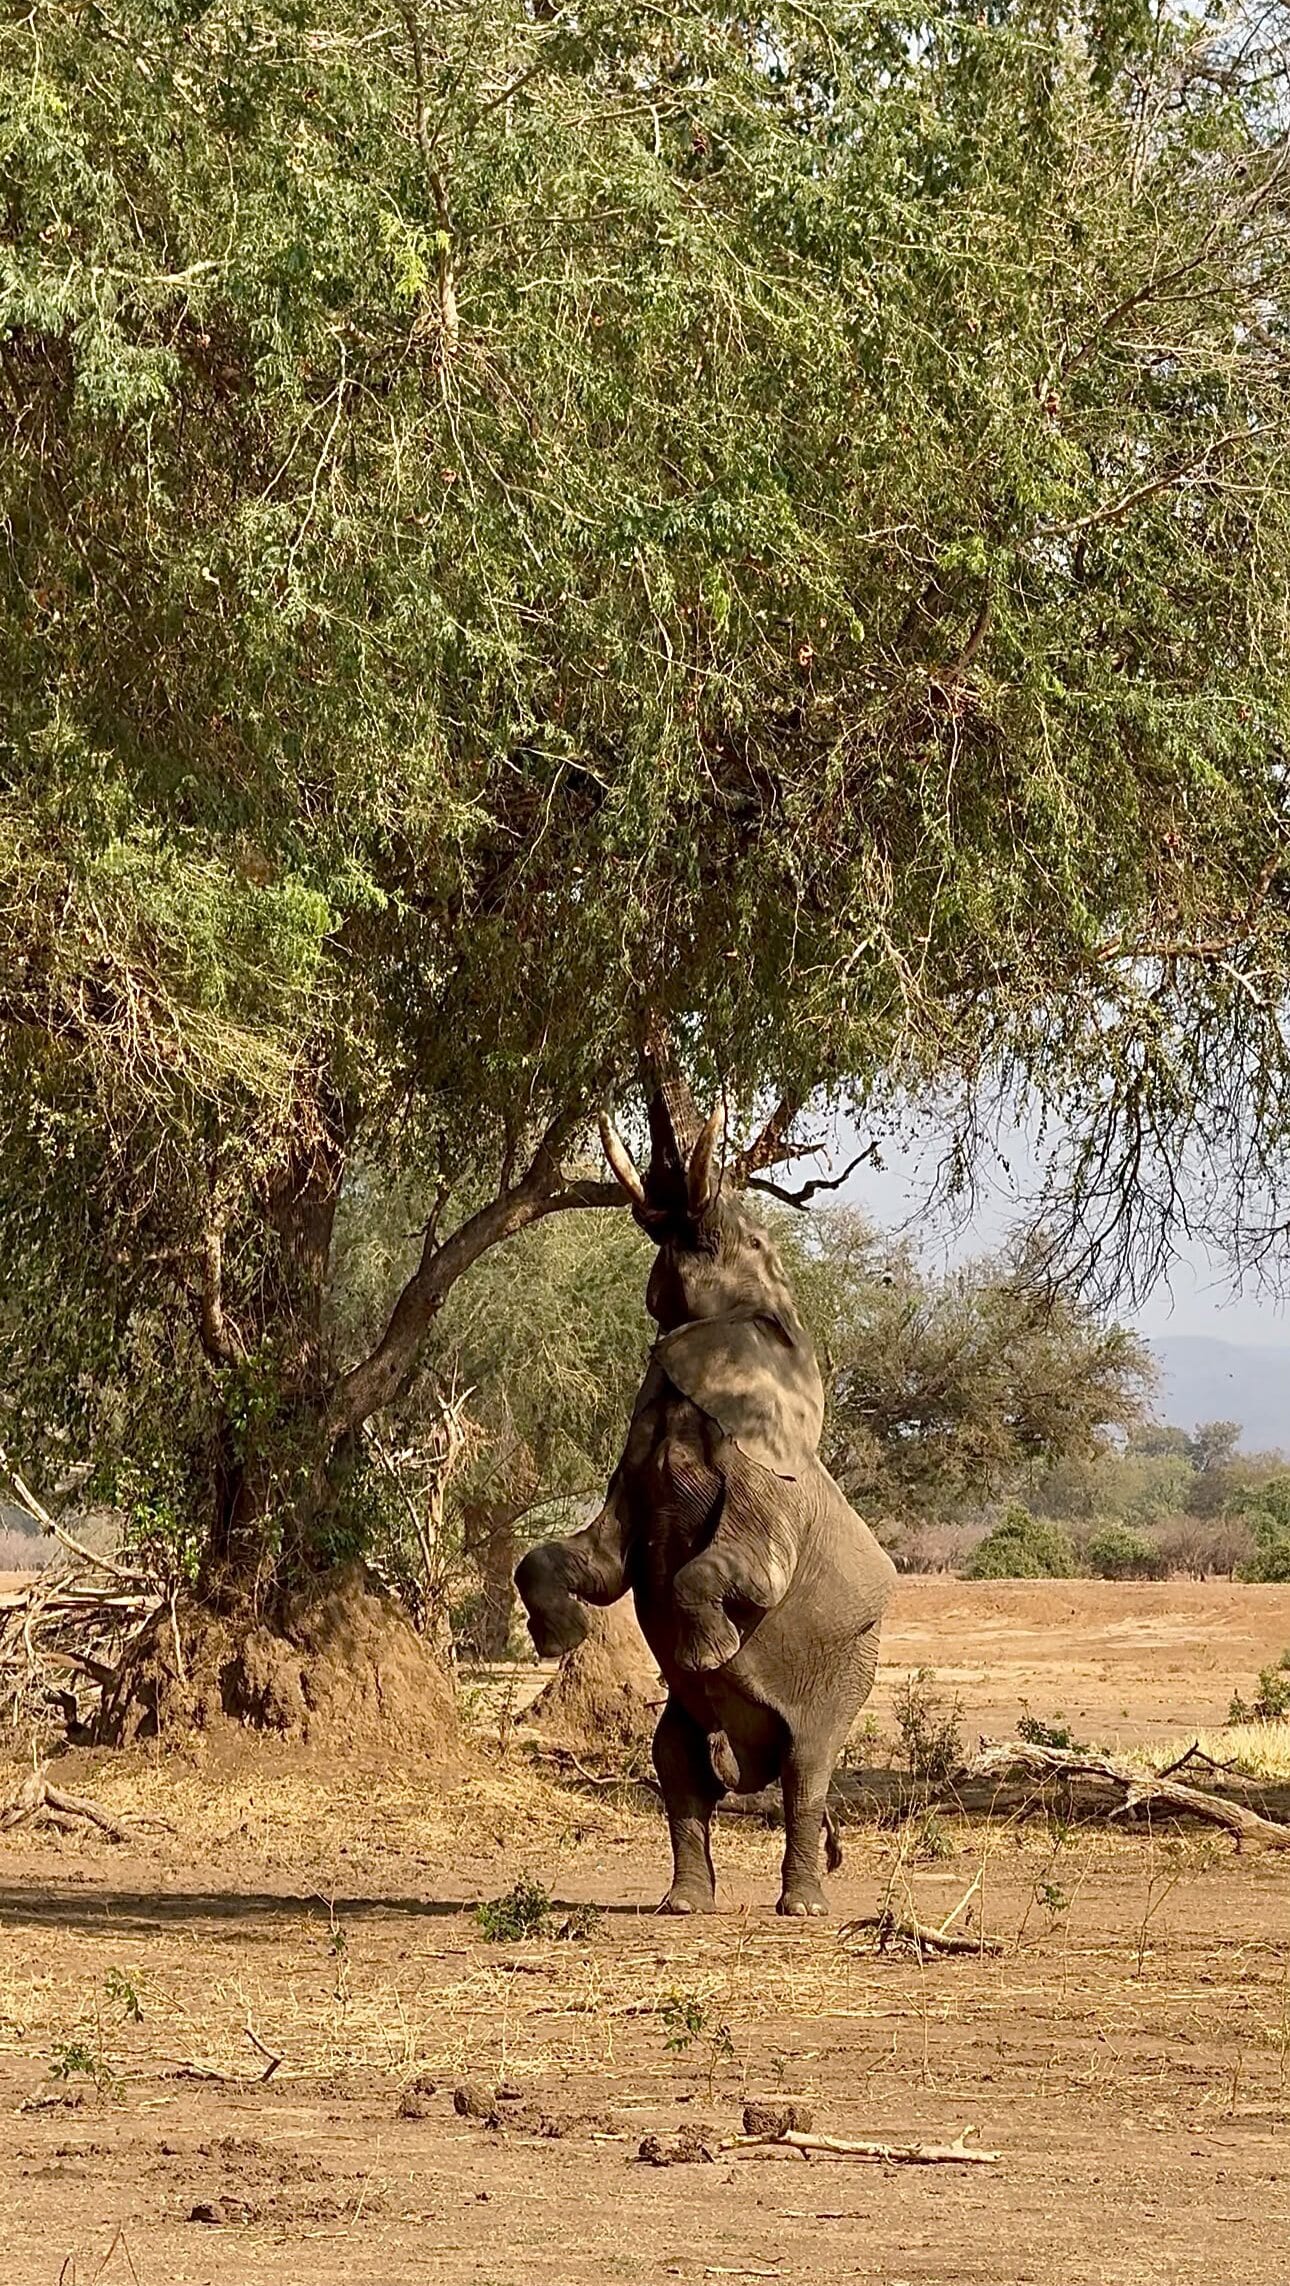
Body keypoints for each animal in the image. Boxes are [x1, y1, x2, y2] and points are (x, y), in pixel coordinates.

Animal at [515, 1083, 896, 1918]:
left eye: (746, 1239)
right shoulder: (631, 1469)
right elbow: (592, 1562)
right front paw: (562, 1638)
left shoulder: (765, 1471)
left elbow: (743, 1569)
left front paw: (710, 1651)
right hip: (696, 1730)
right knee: (679, 1765)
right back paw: (684, 1904)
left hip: (849, 1671)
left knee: (805, 1774)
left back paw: (802, 1908)